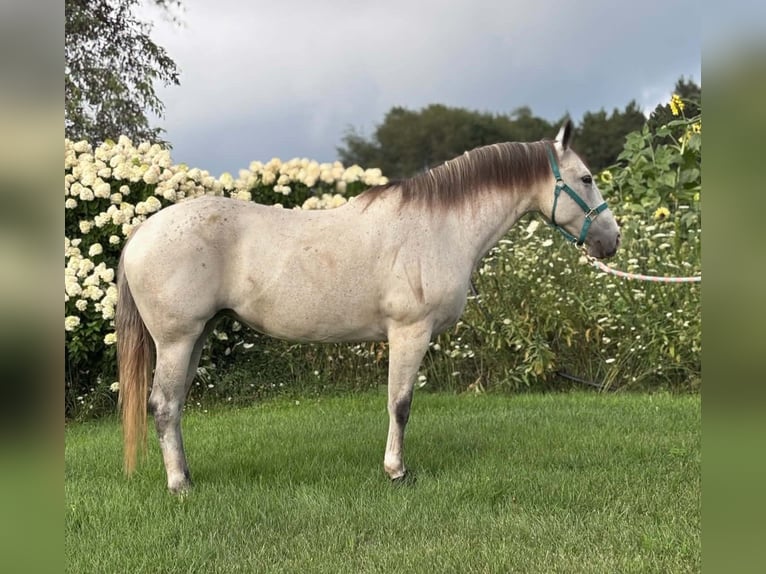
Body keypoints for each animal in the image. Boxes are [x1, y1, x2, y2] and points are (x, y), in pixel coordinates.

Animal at [116, 119, 620, 492]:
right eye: (587, 178)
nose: (611, 240)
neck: (438, 227)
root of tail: (141, 233)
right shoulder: (410, 332)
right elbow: (400, 404)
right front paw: (397, 471)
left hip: (195, 337)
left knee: (175, 404)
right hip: (177, 340)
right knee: (163, 405)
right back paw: (180, 485)